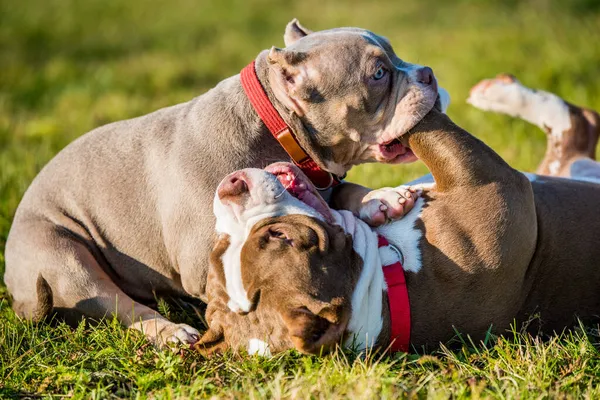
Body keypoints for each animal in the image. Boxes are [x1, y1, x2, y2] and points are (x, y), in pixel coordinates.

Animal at [199, 89, 600, 354]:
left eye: (218, 252)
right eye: (281, 235)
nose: (231, 186)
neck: (385, 278)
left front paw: (380, 200)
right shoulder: (494, 182)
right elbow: (426, 127)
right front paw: (409, 102)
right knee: (575, 126)